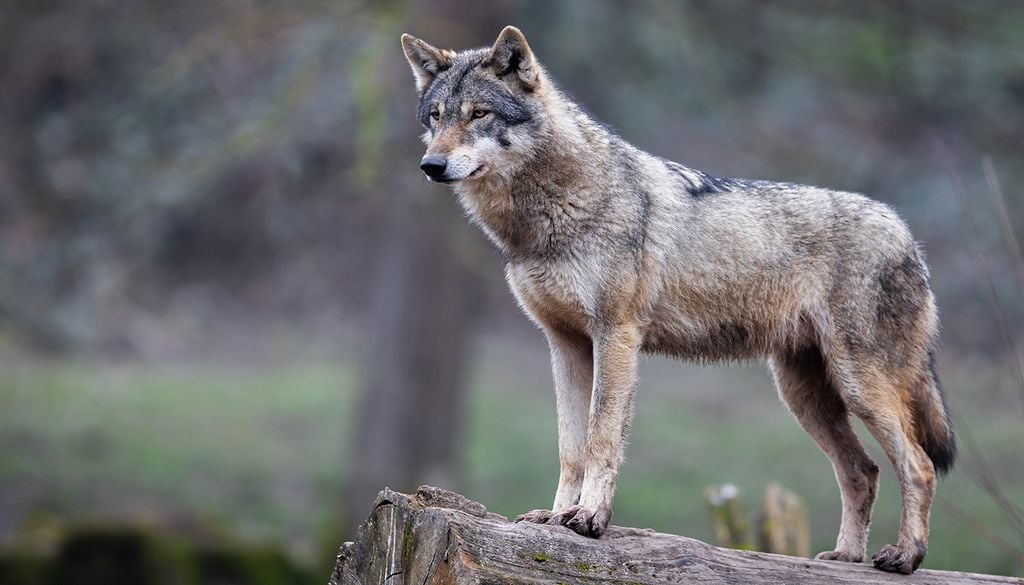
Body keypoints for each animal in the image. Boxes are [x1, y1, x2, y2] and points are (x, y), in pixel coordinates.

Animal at [401, 25, 954, 574]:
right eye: (436, 117)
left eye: (479, 114)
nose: (430, 165)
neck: (548, 215)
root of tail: (906, 233)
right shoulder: (565, 344)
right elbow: (570, 447)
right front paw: (554, 517)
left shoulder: (616, 336)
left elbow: (601, 438)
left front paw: (589, 518)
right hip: (805, 395)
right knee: (863, 470)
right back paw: (845, 557)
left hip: (857, 385)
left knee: (920, 466)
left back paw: (904, 556)